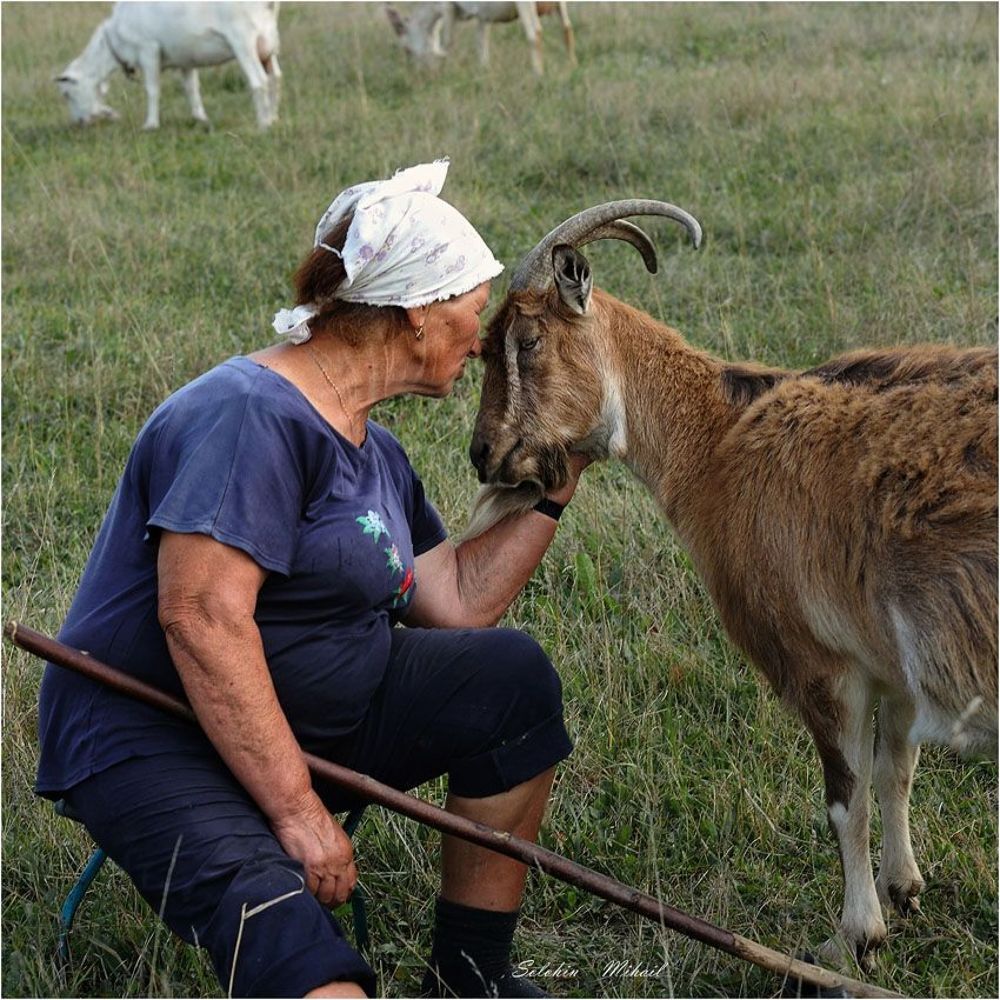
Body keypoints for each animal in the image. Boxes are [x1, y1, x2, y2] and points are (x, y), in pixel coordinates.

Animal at [55, 2, 281, 130]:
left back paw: (262, 125)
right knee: (275, 78)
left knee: (259, 81)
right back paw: (273, 119)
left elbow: (152, 90)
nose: (79, 123)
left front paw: (150, 125)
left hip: (243, 39)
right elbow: (191, 89)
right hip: (268, 44)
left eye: (67, 93)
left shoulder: (148, 49)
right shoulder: (187, 57)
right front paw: (200, 118)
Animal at [385, 2, 575, 76]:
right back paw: (571, 67)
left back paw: (538, 75)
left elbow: (447, 42)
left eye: (407, 49)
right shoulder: (483, 18)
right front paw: (484, 72)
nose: (418, 74)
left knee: (534, 33)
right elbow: (481, 45)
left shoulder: (448, 7)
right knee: (567, 28)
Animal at [467, 200, 998, 969]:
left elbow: (847, 798)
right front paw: (902, 891)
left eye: (527, 339)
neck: (719, 438)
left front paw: (852, 939)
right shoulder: (890, 667)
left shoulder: (818, 663)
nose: (483, 453)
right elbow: (895, 770)